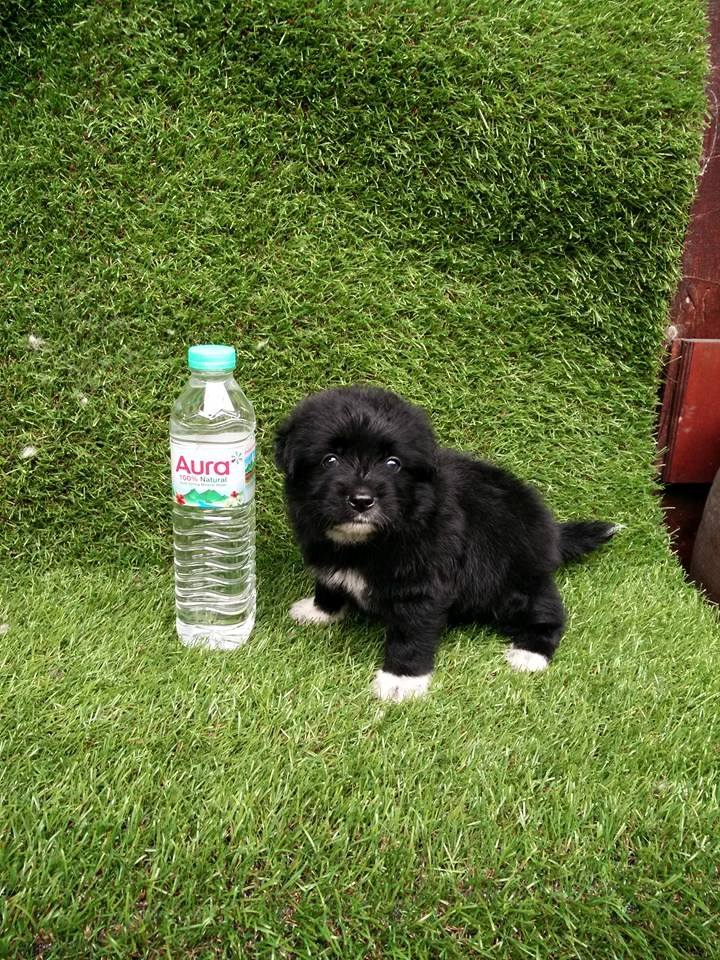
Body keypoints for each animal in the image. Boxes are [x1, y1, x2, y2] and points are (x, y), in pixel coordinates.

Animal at [274, 386, 618, 702]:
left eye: (393, 463)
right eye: (330, 460)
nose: (361, 500)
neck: (366, 542)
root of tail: (550, 532)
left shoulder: (423, 584)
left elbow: (410, 633)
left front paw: (401, 680)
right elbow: (328, 583)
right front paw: (320, 610)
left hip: (514, 581)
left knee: (548, 608)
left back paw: (531, 651)